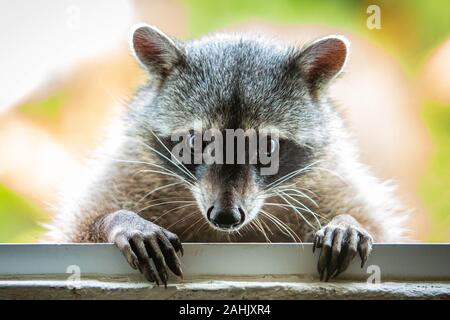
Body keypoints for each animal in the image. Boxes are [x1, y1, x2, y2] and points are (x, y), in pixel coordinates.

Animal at [46, 24, 408, 284]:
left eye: (266, 147)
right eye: (196, 143)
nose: (225, 217)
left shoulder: (326, 178)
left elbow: (378, 226)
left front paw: (347, 221)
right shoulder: (131, 166)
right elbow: (76, 231)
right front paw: (121, 220)